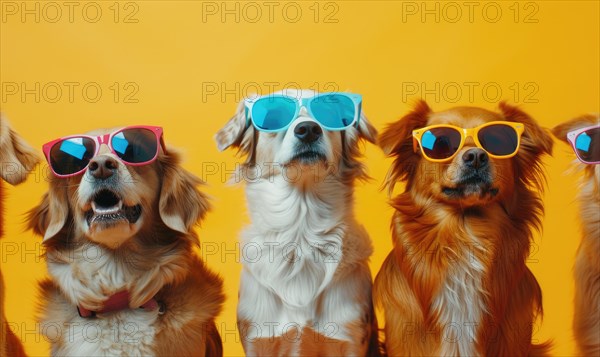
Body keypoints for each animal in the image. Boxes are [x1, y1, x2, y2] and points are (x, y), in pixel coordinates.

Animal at [218, 89, 382, 356]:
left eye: (328, 115)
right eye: (274, 117)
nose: (308, 130)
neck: (300, 233)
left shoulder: (349, 338)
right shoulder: (259, 339)